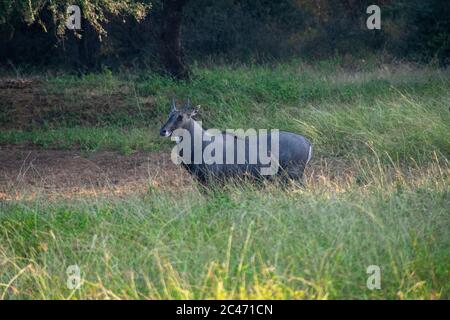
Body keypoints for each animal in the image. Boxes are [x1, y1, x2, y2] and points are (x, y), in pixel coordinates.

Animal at [159, 99, 312, 184]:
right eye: (169, 115)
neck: (200, 143)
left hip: (293, 176)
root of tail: (308, 142)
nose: (163, 131)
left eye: (181, 116)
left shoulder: (213, 180)